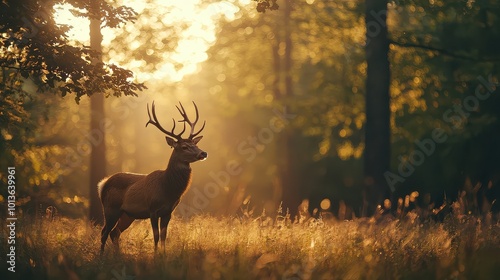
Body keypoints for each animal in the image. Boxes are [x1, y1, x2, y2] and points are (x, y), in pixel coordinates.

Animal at [97, 100, 207, 254]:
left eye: (195, 144)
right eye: (184, 147)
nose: (203, 153)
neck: (167, 188)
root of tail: (103, 184)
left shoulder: (168, 211)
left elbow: (164, 236)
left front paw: (163, 255)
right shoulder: (152, 209)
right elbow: (155, 236)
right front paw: (155, 256)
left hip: (127, 214)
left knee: (114, 232)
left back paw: (118, 256)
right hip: (110, 208)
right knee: (104, 232)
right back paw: (101, 257)